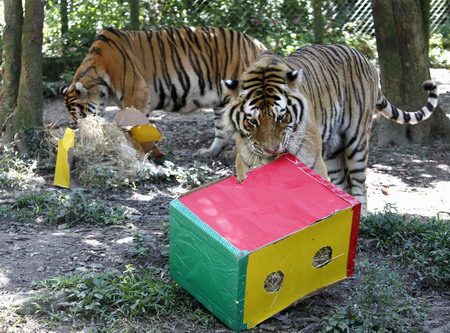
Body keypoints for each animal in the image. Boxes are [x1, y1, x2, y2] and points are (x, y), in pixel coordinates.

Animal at [61, 26, 268, 156]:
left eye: (81, 115)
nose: (83, 131)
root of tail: (257, 44)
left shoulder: (136, 95)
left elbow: (132, 129)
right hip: (221, 99)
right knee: (222, 129)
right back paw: (210, 153)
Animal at [221, 44, 440, 214]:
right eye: (253, 121)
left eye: (281, 117)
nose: (271, 150)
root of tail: (363, 56)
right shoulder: (246, 162)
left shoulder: (312, 161)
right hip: (333, 152)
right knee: (343, 185)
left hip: (356, 141)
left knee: (360, 185)